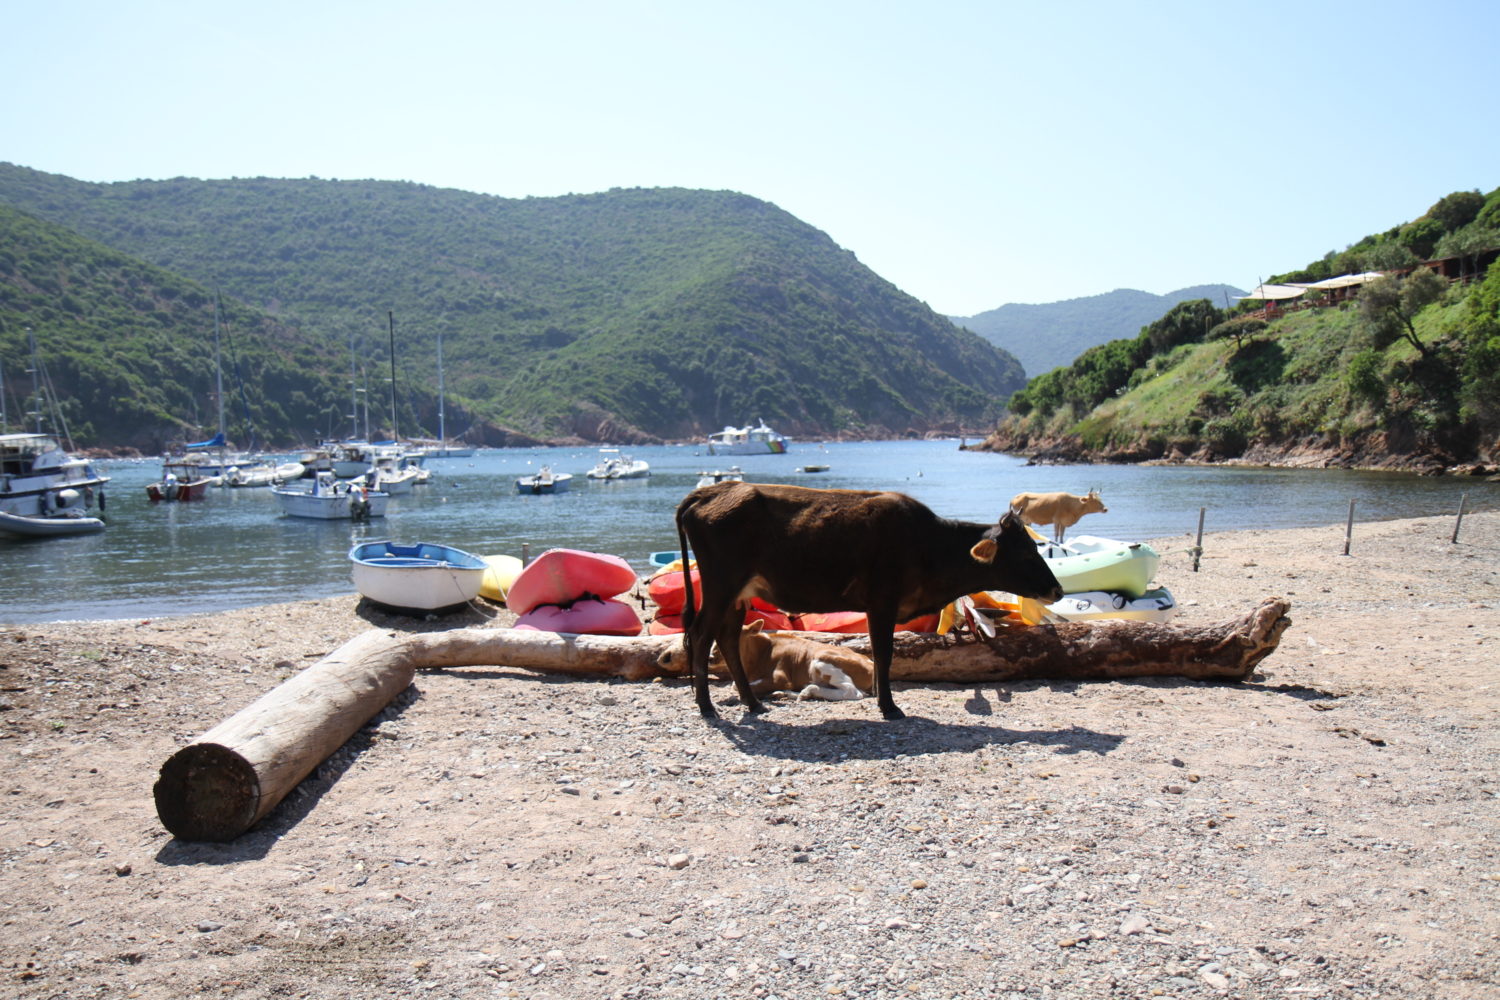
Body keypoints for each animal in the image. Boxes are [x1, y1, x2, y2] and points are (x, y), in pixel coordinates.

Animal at [732, 620, 876, 701]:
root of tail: (870, 662)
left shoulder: (781, 678)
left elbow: (736, 686)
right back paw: (788, 693)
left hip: (820, 660)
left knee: (852, 692)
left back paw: (808, 691)